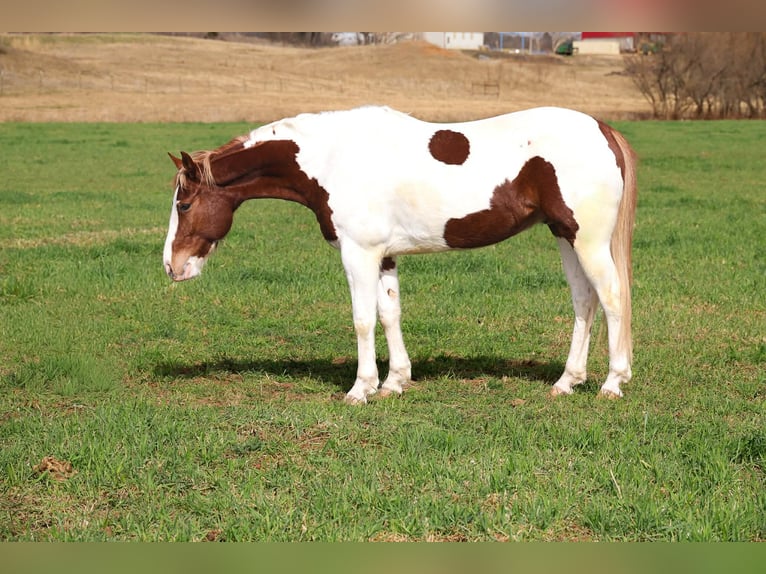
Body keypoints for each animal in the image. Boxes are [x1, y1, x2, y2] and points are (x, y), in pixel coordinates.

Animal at [163, 106, 637, 404]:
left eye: (183, 204)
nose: (172, 266)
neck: (334, 159)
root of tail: (603, 129)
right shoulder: (384, 256)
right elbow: (390, 314)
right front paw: (395, 382)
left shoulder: (358, 255)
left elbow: (362, 319)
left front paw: (361, 389)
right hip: (564, 236)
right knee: (584, 302)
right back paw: (567, 381)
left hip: (587, 241)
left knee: (612, 299)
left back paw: (613, 383)